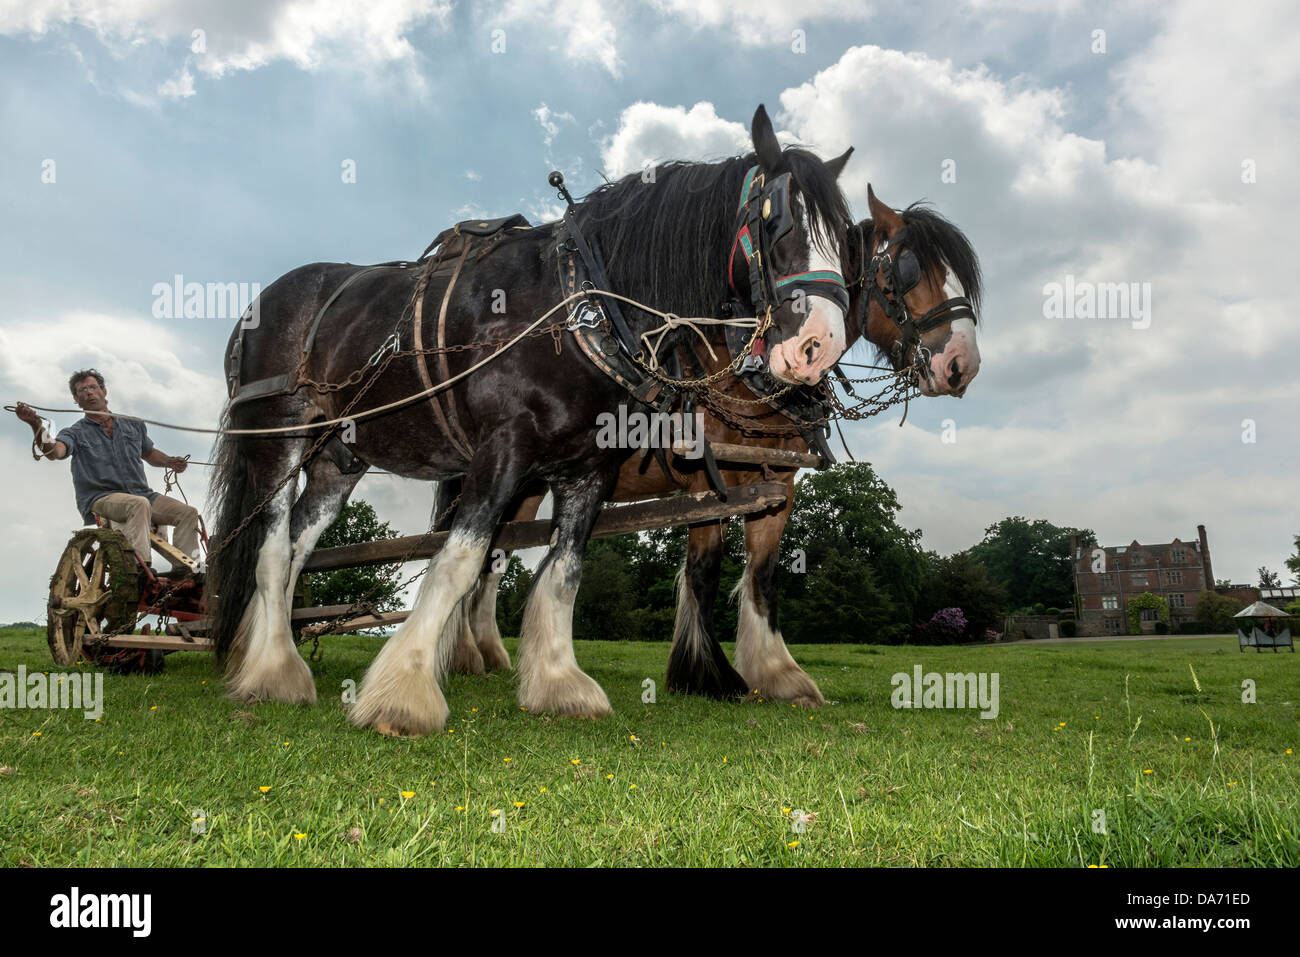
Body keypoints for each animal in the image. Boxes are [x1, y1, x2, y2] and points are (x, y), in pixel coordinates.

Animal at [210, 102, 863, 733]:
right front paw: (404, 694)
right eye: (778, 222)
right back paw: (275, 673)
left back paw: (270, 658)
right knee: (271, 548)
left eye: (847, 243)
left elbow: (564, 570)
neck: (580, 308)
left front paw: (557, 684)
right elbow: (461, 561)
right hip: (278, 434)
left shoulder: (591, 466)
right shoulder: (505, 446)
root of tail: (259, 306)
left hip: (336, 459)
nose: (820, 346)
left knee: (298, 547)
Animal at [441, 188, 977, 712]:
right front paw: (706, 674)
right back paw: (471, 653)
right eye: (909, 269)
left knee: (495, 557)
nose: (961, 365)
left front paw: (778, 674)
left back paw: (485, 653)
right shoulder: (706, 481)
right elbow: (703, 572)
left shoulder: (778, 485)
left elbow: (764, 573)